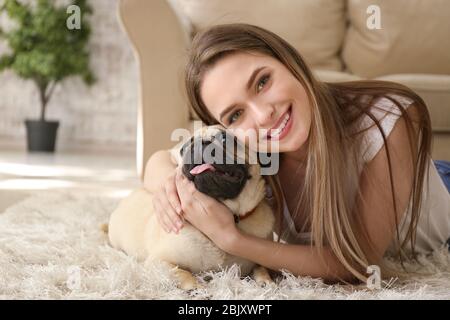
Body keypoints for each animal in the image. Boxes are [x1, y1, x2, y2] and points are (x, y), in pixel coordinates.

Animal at [108, 125, 274, 290]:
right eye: (184, 149)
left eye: (225, 138)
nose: (202, 144)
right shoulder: (158, 262)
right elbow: (182, 273)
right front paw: (197, 288)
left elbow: (261, 268)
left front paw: (266, 281)